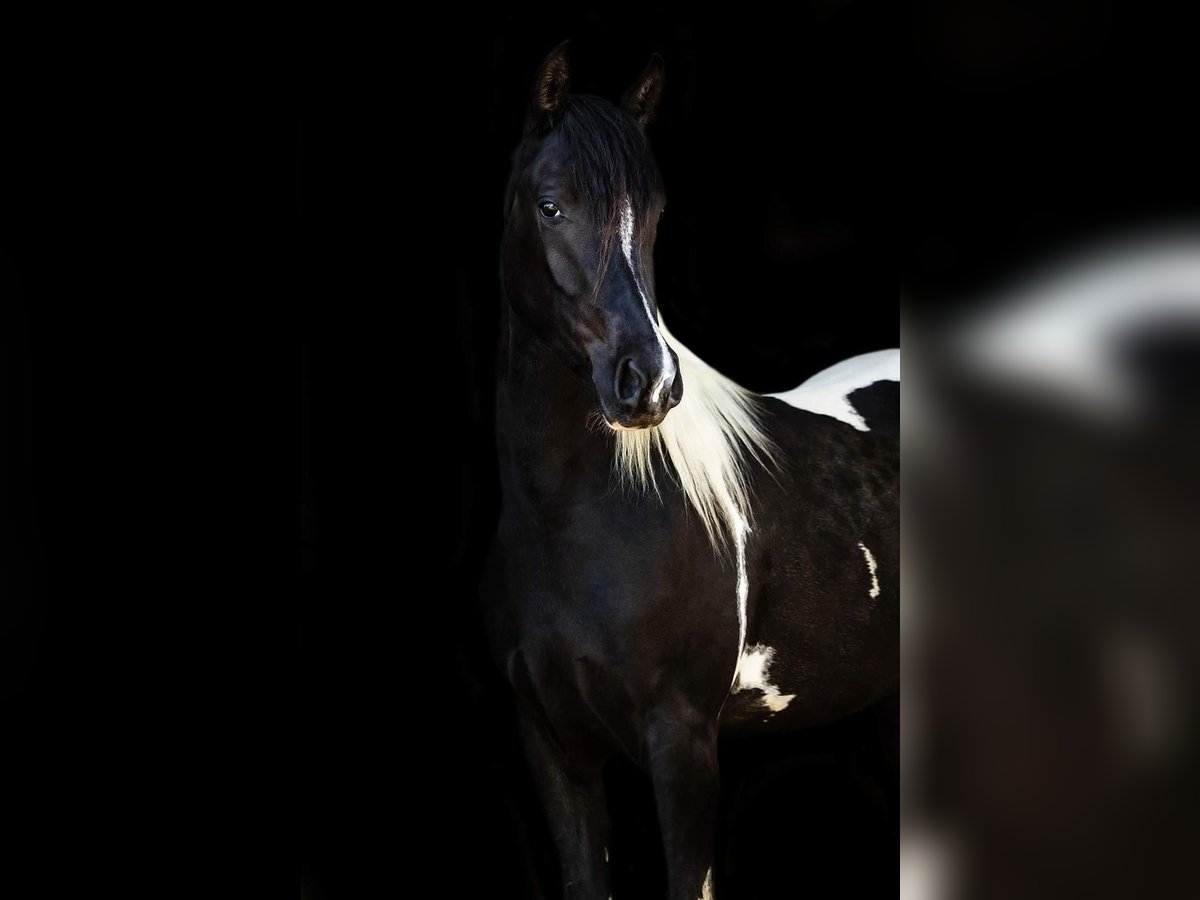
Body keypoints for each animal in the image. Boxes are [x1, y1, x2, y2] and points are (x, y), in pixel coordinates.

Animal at [482, 44, 897, 900]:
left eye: (657, 216)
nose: (650, 382)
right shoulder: (553, 751)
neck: (571, 526)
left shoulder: (683, 745)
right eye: (550, 206)